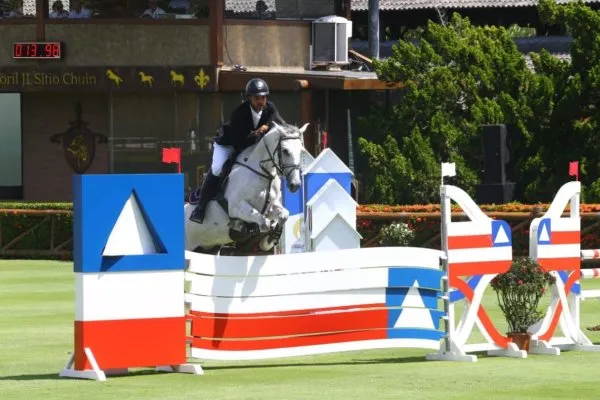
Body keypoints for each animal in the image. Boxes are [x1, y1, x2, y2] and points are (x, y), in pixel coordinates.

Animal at [184, 121, 308, 253]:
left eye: (301, 151)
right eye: (285, 151)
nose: (295, 184)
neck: (263, 174)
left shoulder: (271, 207)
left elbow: (283, 215)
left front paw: (270, 239)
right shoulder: (236, 207)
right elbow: (264, 223)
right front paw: (248, 230)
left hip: (209, 247)